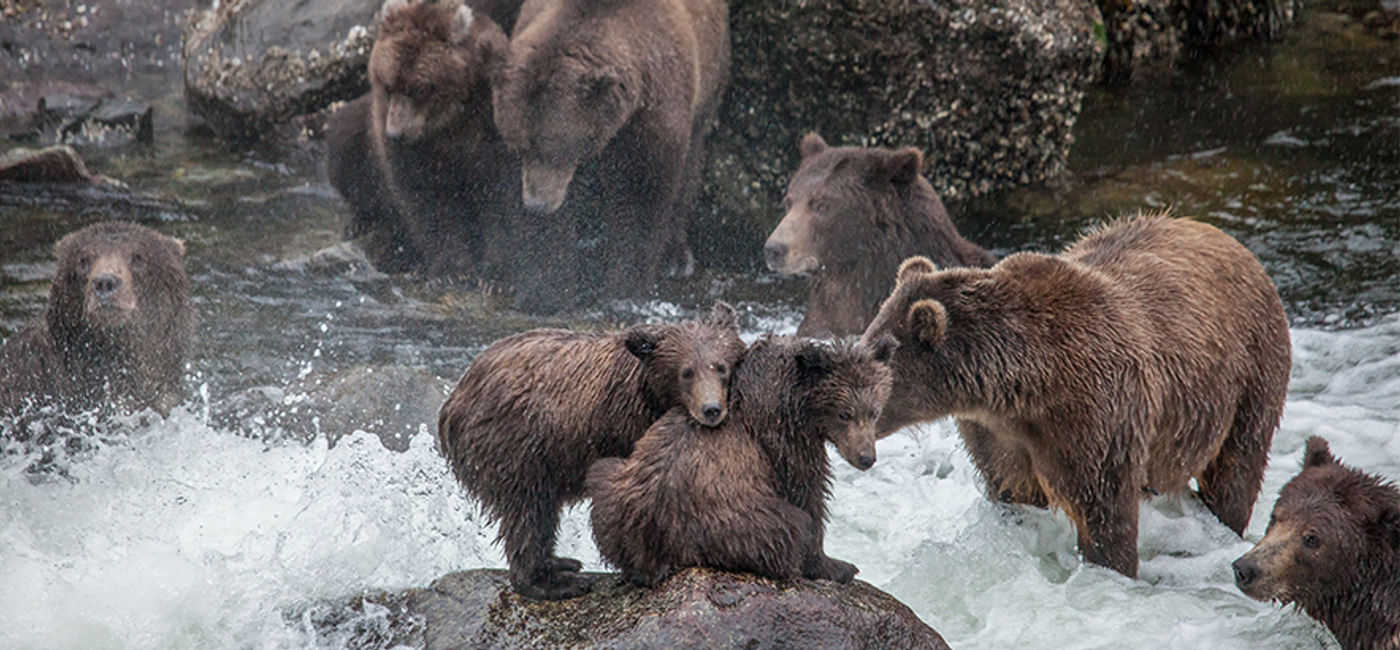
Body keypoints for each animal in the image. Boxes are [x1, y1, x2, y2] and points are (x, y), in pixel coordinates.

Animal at [324, 0, 514, 278]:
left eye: (419, 88)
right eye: (388, 84)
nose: (395, 134)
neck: (448, 123)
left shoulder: (492, 125)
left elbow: (499, 196)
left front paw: (495, 273)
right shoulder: (407, 147)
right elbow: (425, 202)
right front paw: (452, 268)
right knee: (343, 149)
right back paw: (362, 223)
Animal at [436, 301, 746, 600]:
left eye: (721, 366)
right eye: (686, 372)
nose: (711, 409)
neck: (651, 396)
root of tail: (453, 400)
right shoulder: (627, 427)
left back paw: (561, 562)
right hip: (517, 443)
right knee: (528, 510)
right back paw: (554, 582)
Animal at [491, 0, 730, 312]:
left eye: (556, 149)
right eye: (520, 145)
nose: (538, 205)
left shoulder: (653, 111)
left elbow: (638, 200)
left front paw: (623, 290)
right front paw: (545, 291)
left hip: (710, 76)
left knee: (688, 170)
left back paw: (676, 259)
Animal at [586, 334, 897, 587]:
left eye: (874, 411)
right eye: (845, 413)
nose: (866, 458)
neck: (799, 401)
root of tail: (648, 543)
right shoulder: (785, 439)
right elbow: (807, 494)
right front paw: (838, 566)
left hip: (617, 485)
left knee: (602, 474)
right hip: (726, 521)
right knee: (787, 526)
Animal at [860, 211, 1292, 578]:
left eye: (877, 357)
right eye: (864, 340)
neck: (1023, 386)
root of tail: (1232, 241)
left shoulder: (1096, 417)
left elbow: (1104, 512)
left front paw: (1112, 566)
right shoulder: (998, 435)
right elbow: (1011, 485)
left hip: (1249, 375)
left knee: (1237, 468)